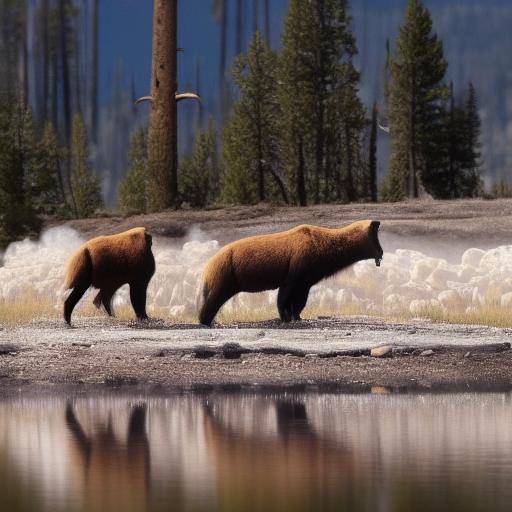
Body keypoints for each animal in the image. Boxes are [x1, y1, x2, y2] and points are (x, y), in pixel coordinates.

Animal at [198, 219, 382, 324]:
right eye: (375, 239)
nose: (381, 252)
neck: (322, 248)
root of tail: (207, 267)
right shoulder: (294, 274)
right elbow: (284, 298)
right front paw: (286, 317)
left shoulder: (305, 282)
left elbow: (298, 302)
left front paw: (296, 316)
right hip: (226, 276)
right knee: (213, 300)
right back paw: (205, 320)